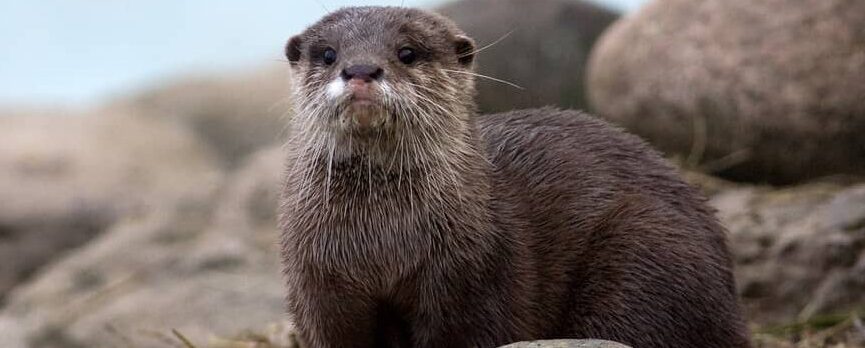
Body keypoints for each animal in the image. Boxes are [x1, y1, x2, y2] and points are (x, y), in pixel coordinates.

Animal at [278, 6, 748, 348]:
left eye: (407, 52)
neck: (383, 246)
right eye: (328, 54)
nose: (360, 69)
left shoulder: (475, 281)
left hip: (646, 253)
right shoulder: (319, 288)